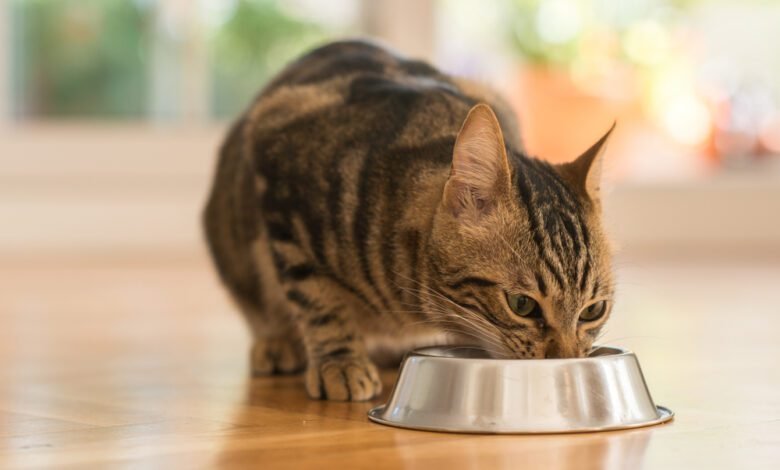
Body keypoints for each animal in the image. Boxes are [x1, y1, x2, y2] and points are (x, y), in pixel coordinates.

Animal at [206, 39, 616, 400]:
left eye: (593, 311)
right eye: (521, 305)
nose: (566, 361)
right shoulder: (280, 173)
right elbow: (317, 299)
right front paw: (340, 362)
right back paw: (278, 344)